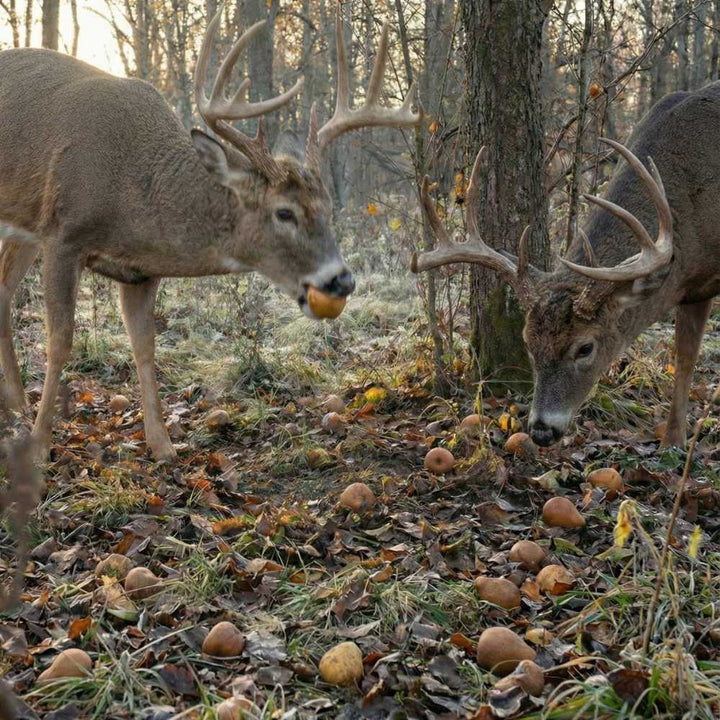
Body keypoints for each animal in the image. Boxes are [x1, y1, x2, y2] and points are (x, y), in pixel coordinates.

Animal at [0, 7, 421, 461]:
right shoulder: (62, 236)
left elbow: (145, 346)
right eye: (284, 213)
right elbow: (60, 340)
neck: (134, 190)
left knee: (3, 292)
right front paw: (40, 446)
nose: (340, 280)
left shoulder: (140, 270)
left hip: (22, 226)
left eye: (328, 209)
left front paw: (162, 445)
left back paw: (16, 406)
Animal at [413, 81, 720, 448]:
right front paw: (673, 441)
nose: (543, 430)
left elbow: (686, 359)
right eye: (528, 343)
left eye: (585, 348)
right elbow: (684, 357)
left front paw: (674, 443)